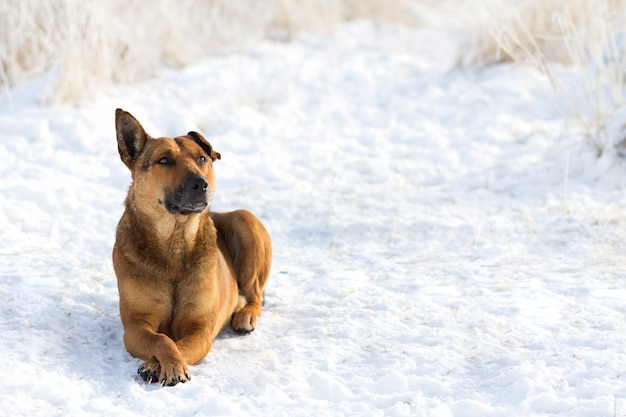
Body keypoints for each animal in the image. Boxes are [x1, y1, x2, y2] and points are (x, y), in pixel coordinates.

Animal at [112, 109, 270, 386]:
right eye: (164, 160)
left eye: (202, 158)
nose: (200, 183)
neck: (175, 243)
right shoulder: (135, 327)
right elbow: (162, 339)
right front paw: (163, 365)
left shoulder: (200, 330)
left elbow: (180, 345)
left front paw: (163, 365)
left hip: (244, 221)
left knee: (255, 295)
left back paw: (246, 316)